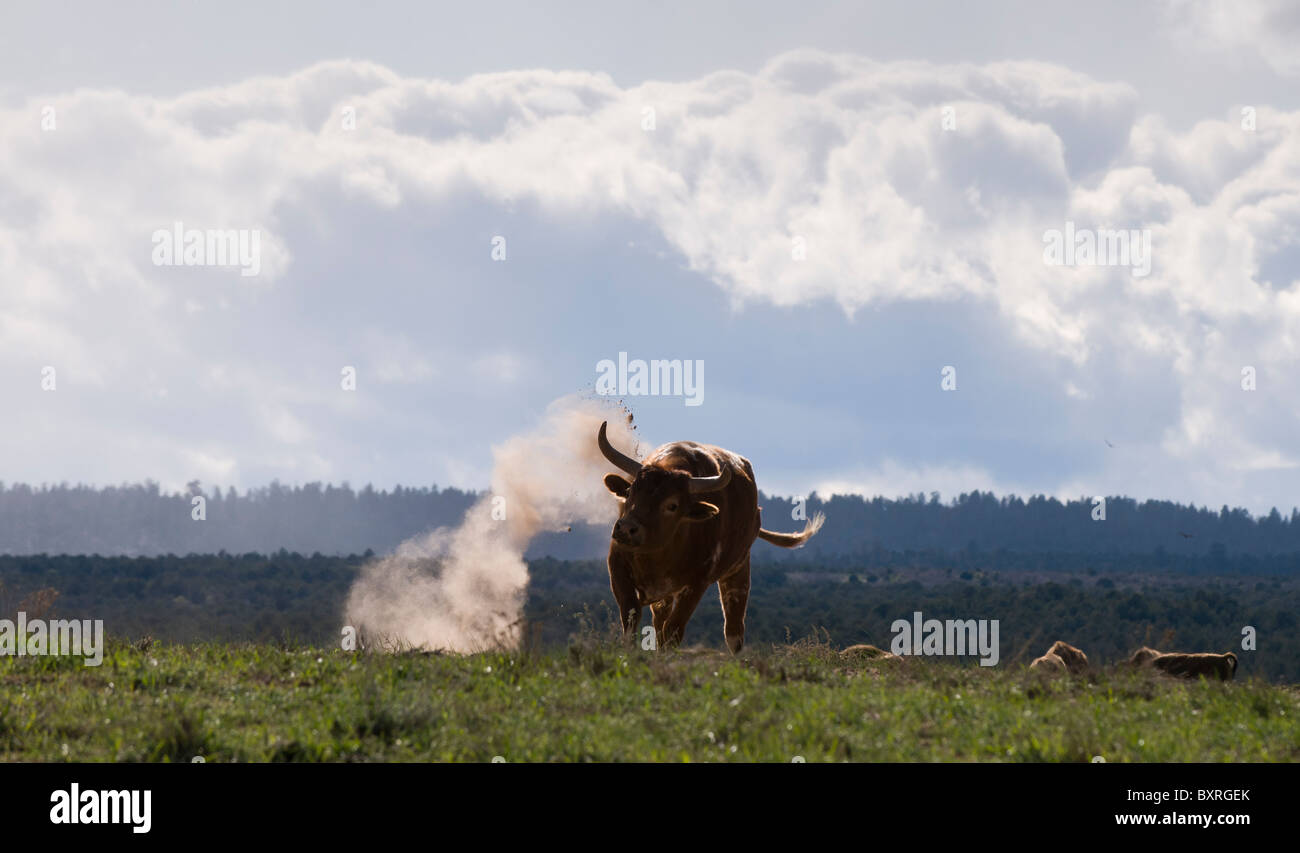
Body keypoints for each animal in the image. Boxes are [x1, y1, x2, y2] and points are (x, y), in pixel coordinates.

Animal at [598, 421, 821, 652]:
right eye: (630, 492)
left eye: (672, 505)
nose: (626, 528)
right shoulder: (618, 569)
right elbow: (632, 619)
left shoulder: (697, 583)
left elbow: (673, 629)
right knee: (659, 622)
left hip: (738, 572)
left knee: (733, 631)